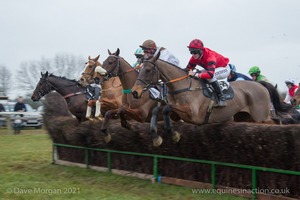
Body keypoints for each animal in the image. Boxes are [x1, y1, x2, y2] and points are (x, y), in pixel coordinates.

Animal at [132, 50, 288, 133]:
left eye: (148, 70)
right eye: (140, 68)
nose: (135, 92)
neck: (182, 86)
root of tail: (260, 85)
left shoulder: (193, 114)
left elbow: (167, 108)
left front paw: (172, 134)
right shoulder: (178, 114)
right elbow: (159, 109)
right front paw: (157, 134)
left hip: (261, 116)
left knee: (276, 122)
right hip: (244, 117)